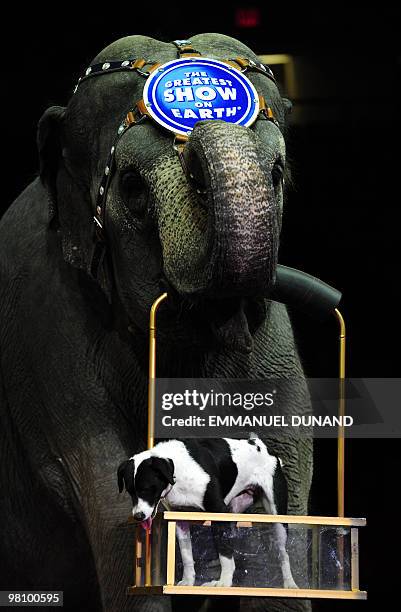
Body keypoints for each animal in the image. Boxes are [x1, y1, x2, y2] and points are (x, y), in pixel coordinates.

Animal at [117, 436, 296, 588]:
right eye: (130, 492)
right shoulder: (180, 518)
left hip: (277, 517)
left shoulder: (219, 512)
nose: (138, 516)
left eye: (146, 489)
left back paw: (290, 584)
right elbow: (187, 555)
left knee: (283, 553)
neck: (178, 470)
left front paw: (224, 583)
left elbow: (225, 553)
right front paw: (188, 581)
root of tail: (266, 449)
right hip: (234, 509)